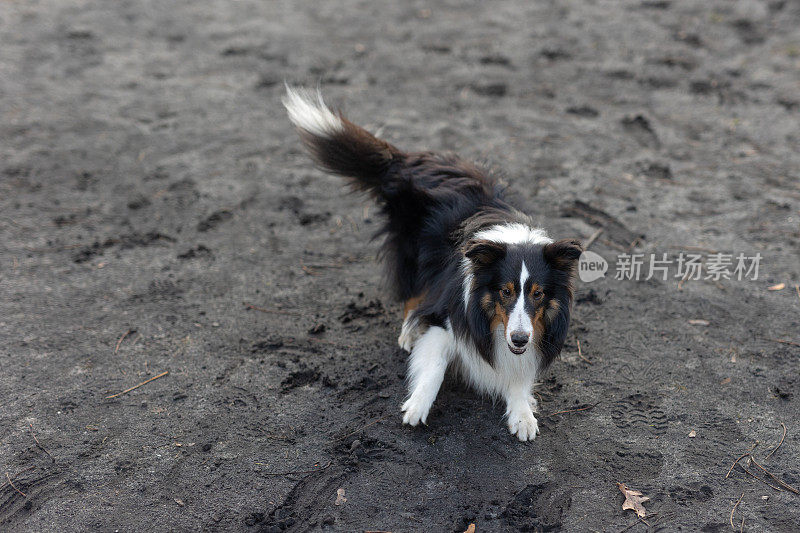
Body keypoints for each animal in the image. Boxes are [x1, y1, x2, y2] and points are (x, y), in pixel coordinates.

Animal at [282, 85, 580, 438]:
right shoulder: (446, 316)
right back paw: (409, 332)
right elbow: (435, 366)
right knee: (412, 292)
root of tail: (407, 159)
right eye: (505, 292)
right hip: (412, 253)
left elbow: (519, 376)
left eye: (538, 294)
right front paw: (417, 405)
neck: (489, 320)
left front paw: (523, 415)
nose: (520, 338)